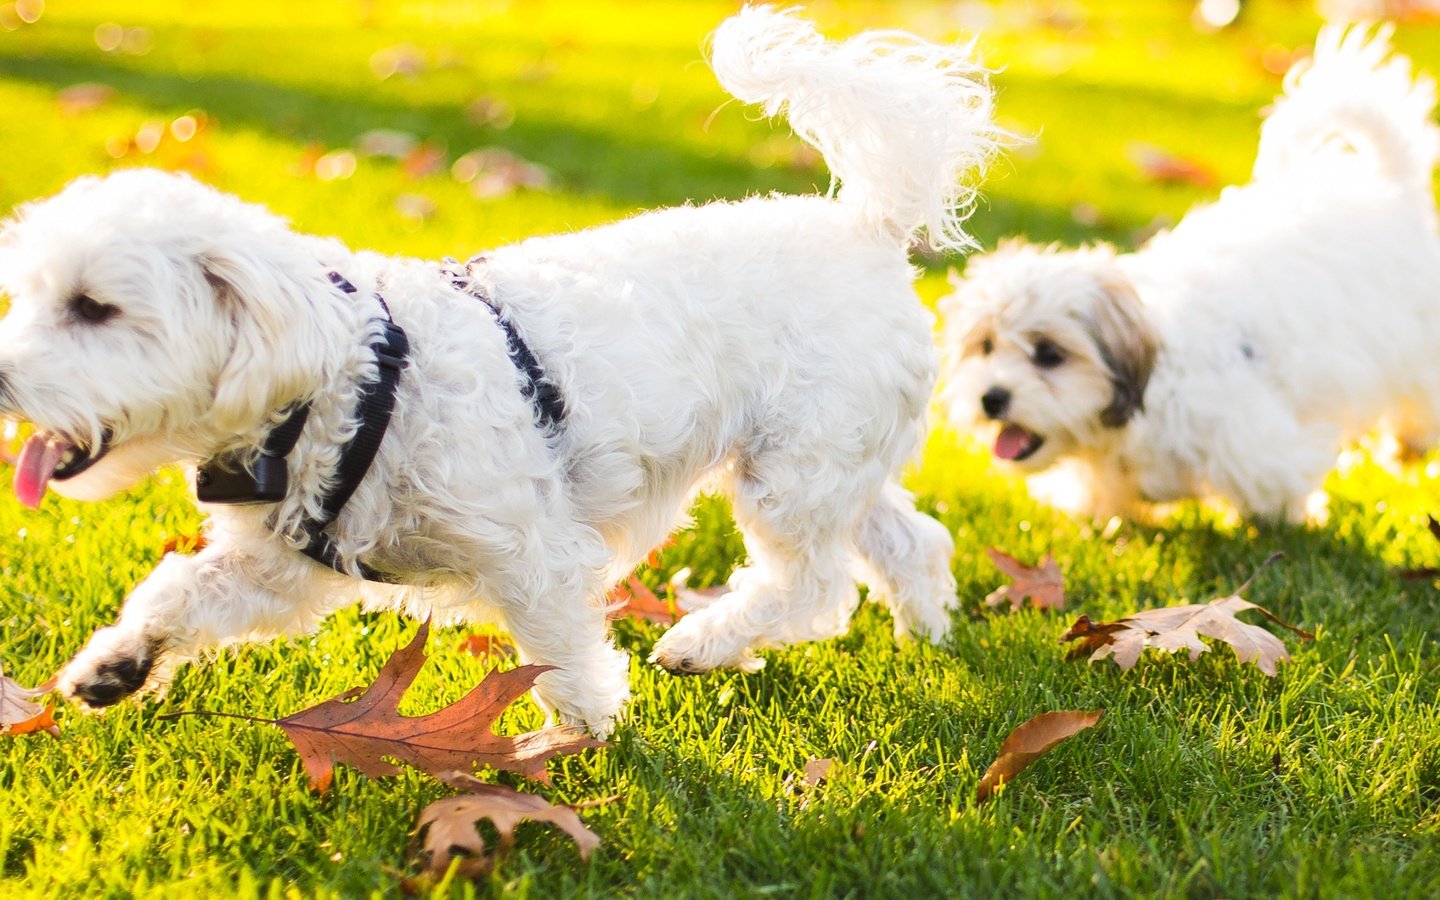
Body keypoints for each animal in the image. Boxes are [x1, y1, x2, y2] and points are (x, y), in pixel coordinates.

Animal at [0, 7, 996, 734]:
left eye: (94, 307)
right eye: (29, 294)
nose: (3, 379)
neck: (348, 384)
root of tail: (866, 225)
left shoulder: (536, 554)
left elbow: (562, 664)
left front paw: (574, 743)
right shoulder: (283, 566)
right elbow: (183, 589)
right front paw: (117, 664)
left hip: (793, 471)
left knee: (814, 588)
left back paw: (704, 644)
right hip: (834, 460)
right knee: (907, 540)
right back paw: (927, 631)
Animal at [938, 26, 1440, 518]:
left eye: (1048, 354)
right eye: (985, 347)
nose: (992, 397)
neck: (1157, 377)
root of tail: (1391, 184)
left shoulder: (1255, 442)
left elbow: (1278, 490)